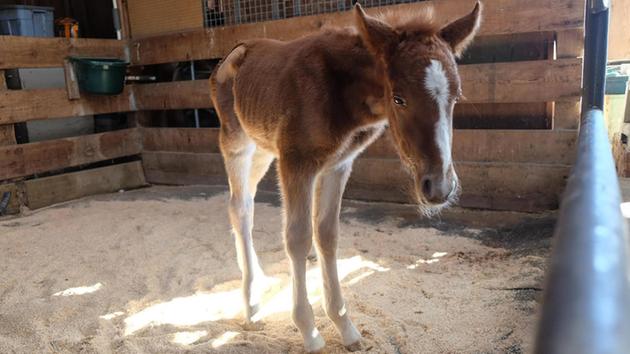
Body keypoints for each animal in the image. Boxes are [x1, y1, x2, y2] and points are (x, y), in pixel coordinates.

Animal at [210, 2, 482, 352]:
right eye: (399, 98)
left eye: (456, 97)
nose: (439, 187)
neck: (341, 95)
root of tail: (232, 54)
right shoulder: (297, 162)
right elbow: (298, 238)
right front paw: (309, 332)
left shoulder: (338, 165)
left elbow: (327, 234)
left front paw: (346, 327)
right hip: (237, 143)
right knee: (240, 208)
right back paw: (253, 306)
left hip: (263, 149)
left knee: (247, 204)